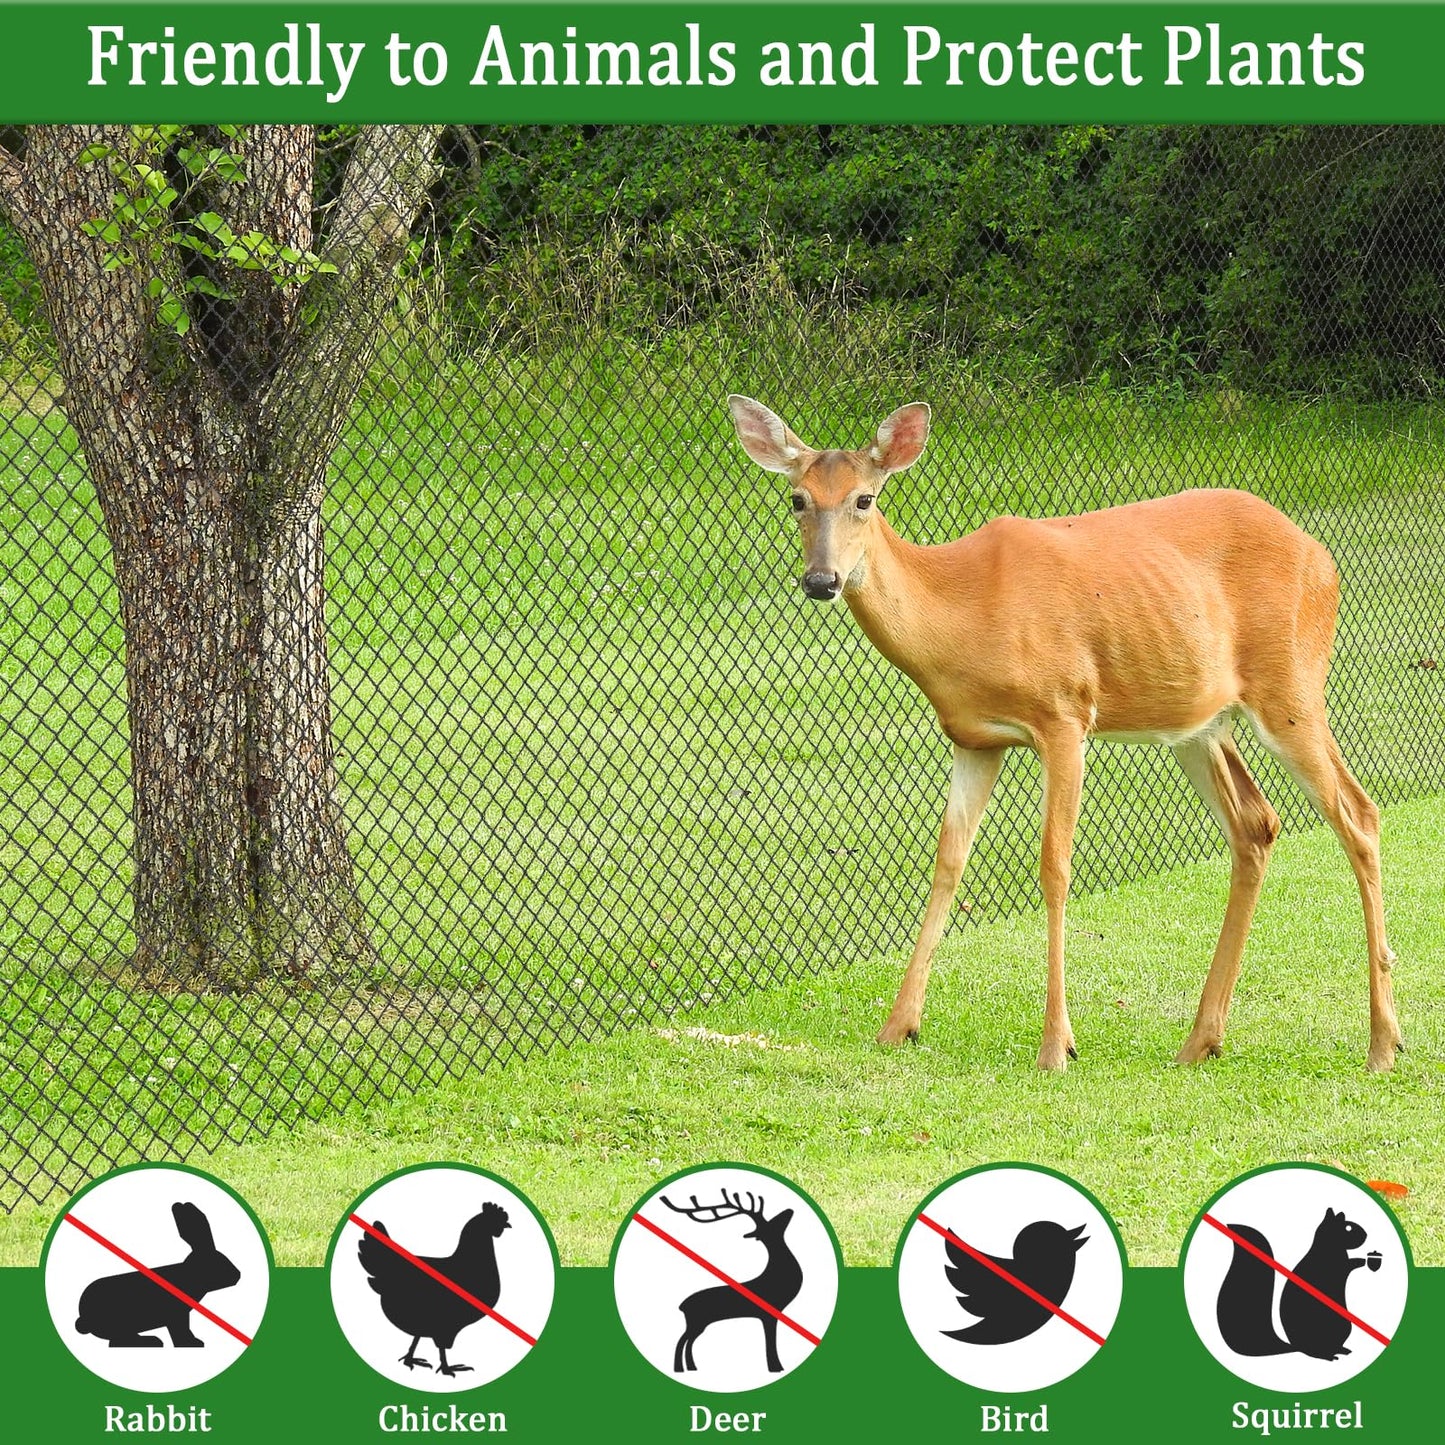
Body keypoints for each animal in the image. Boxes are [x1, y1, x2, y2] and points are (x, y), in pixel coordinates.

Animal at [74, 1201, 242, 1347]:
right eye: (221, 1264)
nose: (238, 1275)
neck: (189, 1275)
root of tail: (84, 1319)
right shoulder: (176, 1316)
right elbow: (180, 1331)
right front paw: (191, 1344)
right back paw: (151, 1341)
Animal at [663, 1189, 803, 1374]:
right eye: (771, 1226)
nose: (789, 1211)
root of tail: (681, 1305)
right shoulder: (768, 1314)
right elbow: (770, 1341)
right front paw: (776, 1367)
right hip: (696, 1322)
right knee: (682, 1340)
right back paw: (680, 1368)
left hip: (698, 1324)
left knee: (689, 1341)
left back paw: (691, 1367)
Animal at [726, 394, 1401, 1074]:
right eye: (797, 498)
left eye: (865, 498)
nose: (822, 580)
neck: (962, 614)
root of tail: (1322, 556)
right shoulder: (975, 738)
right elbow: (948, 861)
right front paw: (898, 1026)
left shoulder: (1065, 714)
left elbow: (1055, 866)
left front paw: (1056, 1044)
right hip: (1198, 723)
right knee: (1257, 826)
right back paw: (1201, 1040)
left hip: (1290, 685)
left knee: (1358, 813)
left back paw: (1382, 1043)